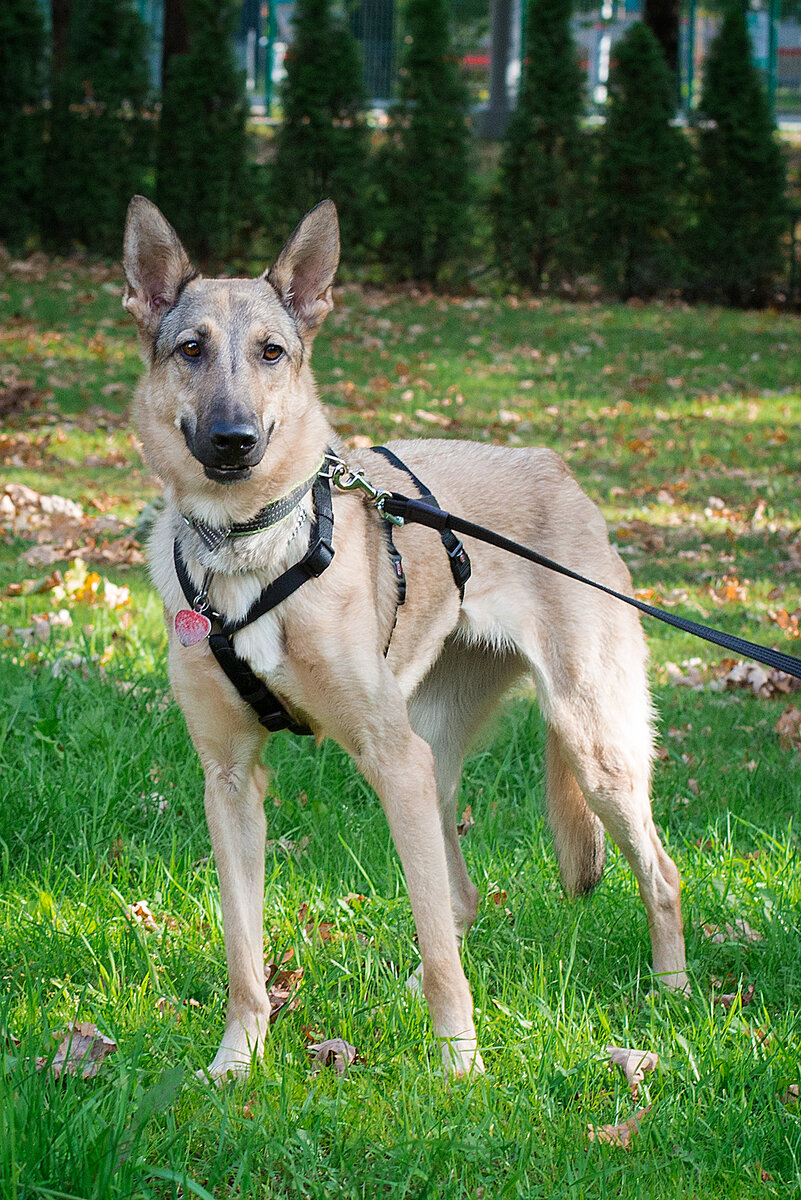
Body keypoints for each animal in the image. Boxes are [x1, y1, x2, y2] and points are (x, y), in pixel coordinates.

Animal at [122, 194, 685, 1080]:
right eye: (190, 349)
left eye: (272, 351)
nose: (234, 440)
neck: (251, 545)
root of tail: (553, 465)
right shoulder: (230, 783)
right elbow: (243, 954)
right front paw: (236, 1062)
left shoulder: (391, 759)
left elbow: (436, 941)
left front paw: (461, 1069)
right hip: (436, 754)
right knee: (456, 900)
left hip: (586, 746)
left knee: (657, 875)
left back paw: (669, 993)